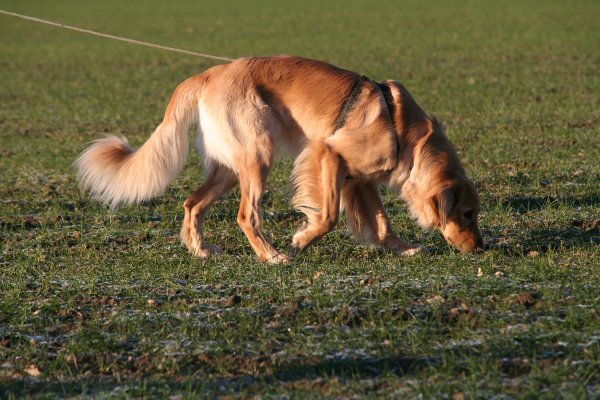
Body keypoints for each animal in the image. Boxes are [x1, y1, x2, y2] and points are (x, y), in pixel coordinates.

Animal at [77, 55, 486, 262]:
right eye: (467, 214)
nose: (480, 248)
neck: (405, 132)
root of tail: (209, 75)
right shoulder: (329, 154)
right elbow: (329, 216)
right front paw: (300, 241)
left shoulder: (362, 181)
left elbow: (381, 222)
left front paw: (403, 248)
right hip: (258, 155)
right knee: (246, 215)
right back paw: (272, 255)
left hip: (229, 168)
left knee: (192, 203)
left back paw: (200, 249)